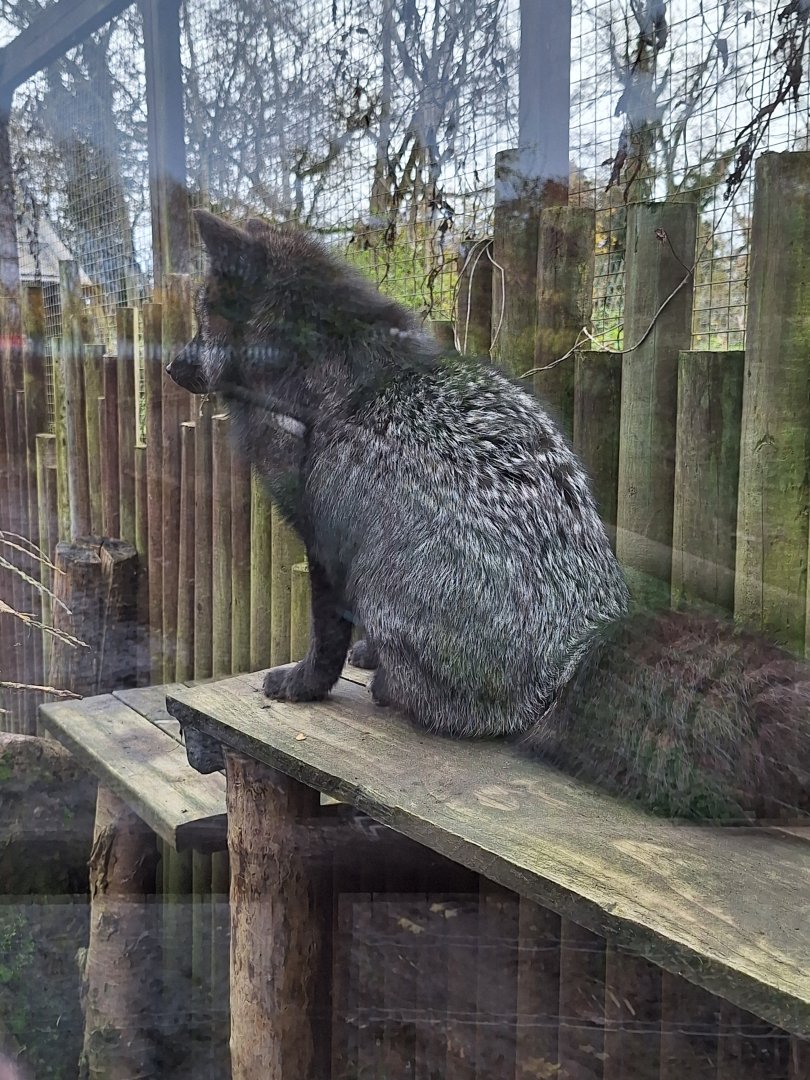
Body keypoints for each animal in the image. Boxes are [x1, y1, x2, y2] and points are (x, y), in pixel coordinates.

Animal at [167, 208, 810, 822]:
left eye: (200, 316)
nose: (173, 366)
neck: (321, 371)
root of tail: (571, 659)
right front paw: (352, 658)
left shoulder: (323, 545)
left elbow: (325, 637)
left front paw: (303, 685)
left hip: (382, 584)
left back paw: (386, 687)